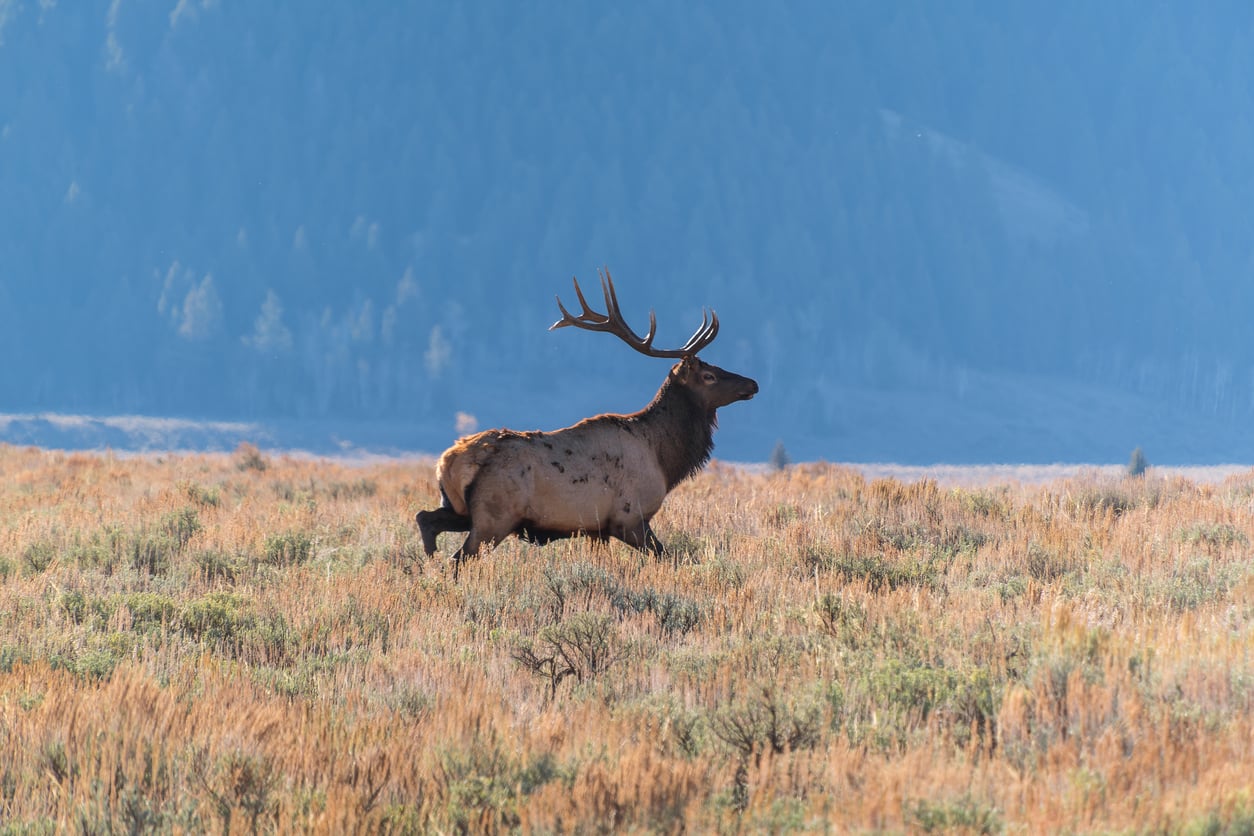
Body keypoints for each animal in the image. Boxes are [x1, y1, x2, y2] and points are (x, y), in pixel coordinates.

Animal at [416, 269, 758, 576]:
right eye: (709, 375)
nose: (752, 383)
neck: (664, 459)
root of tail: (448, 461)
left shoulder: (597, 529)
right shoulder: (628, 518)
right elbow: (669, 556)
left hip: (461, 509)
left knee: (425, 518)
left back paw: (429, 566)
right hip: (494, 518)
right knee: (457, 558)